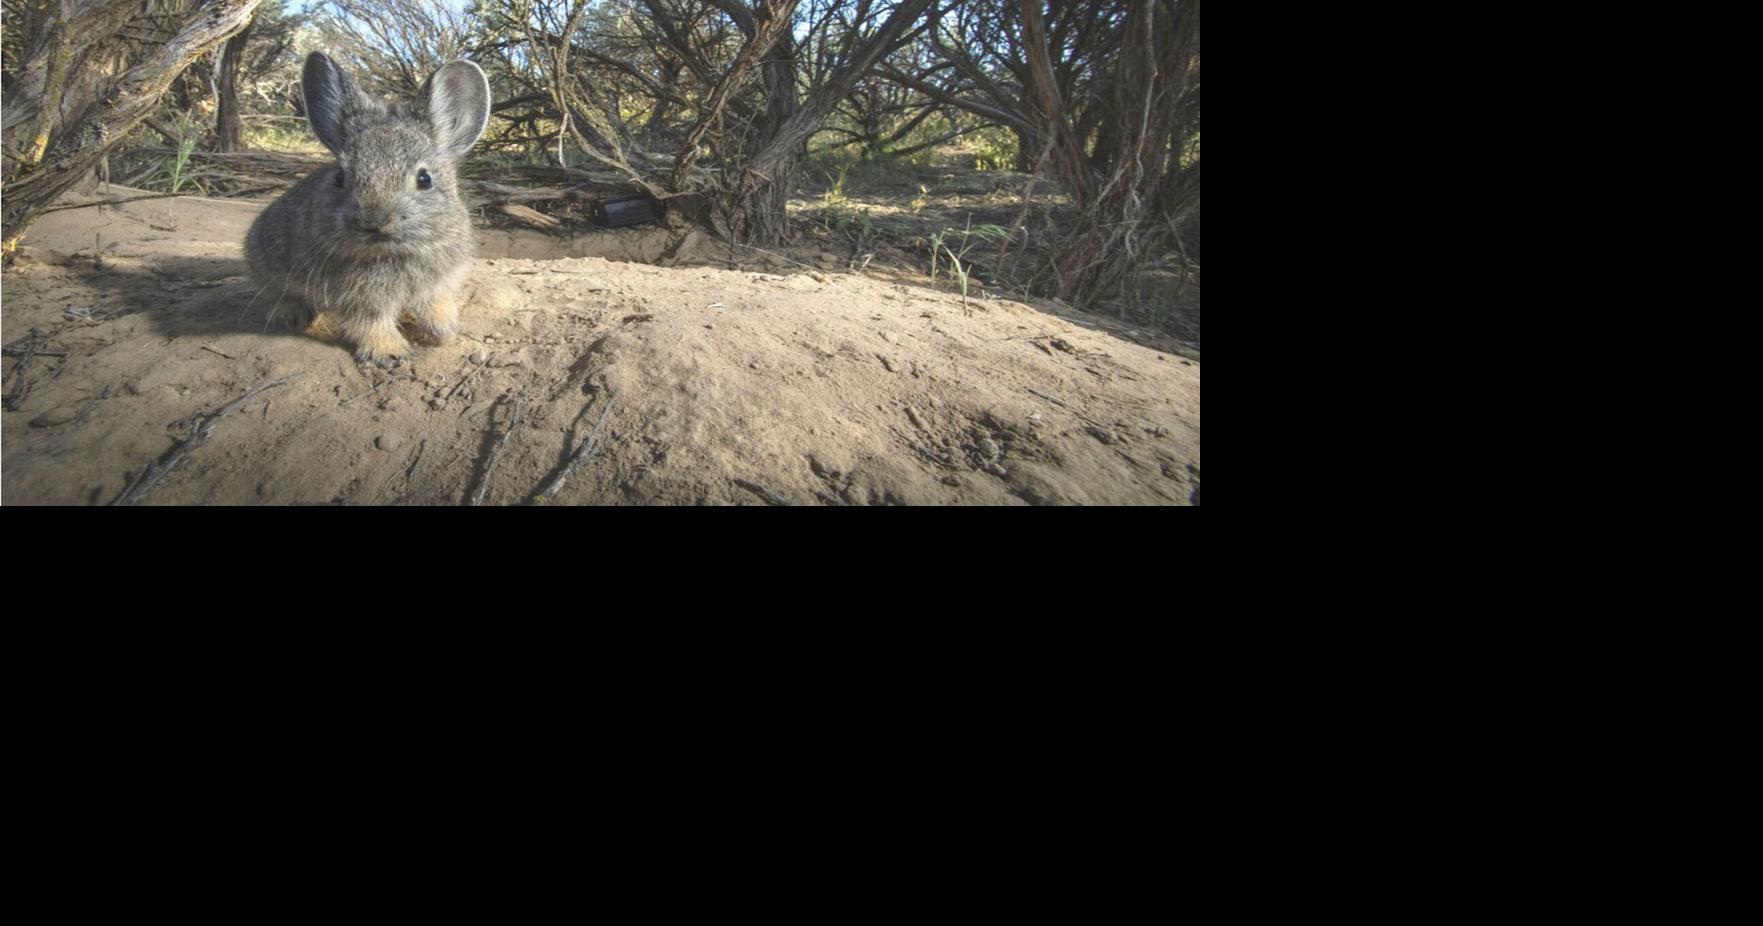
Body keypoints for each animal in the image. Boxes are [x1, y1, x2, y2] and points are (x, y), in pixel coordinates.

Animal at [245, 52, 491, 364]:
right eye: (340, 177)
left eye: (424, 179)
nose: (372, 222)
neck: (392, 253)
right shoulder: (358, 300)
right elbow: (370, 322)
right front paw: (389, 352)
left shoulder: (437, 285)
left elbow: (436, 305)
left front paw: (443, 332)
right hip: (264, 261)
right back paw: (291, 315)